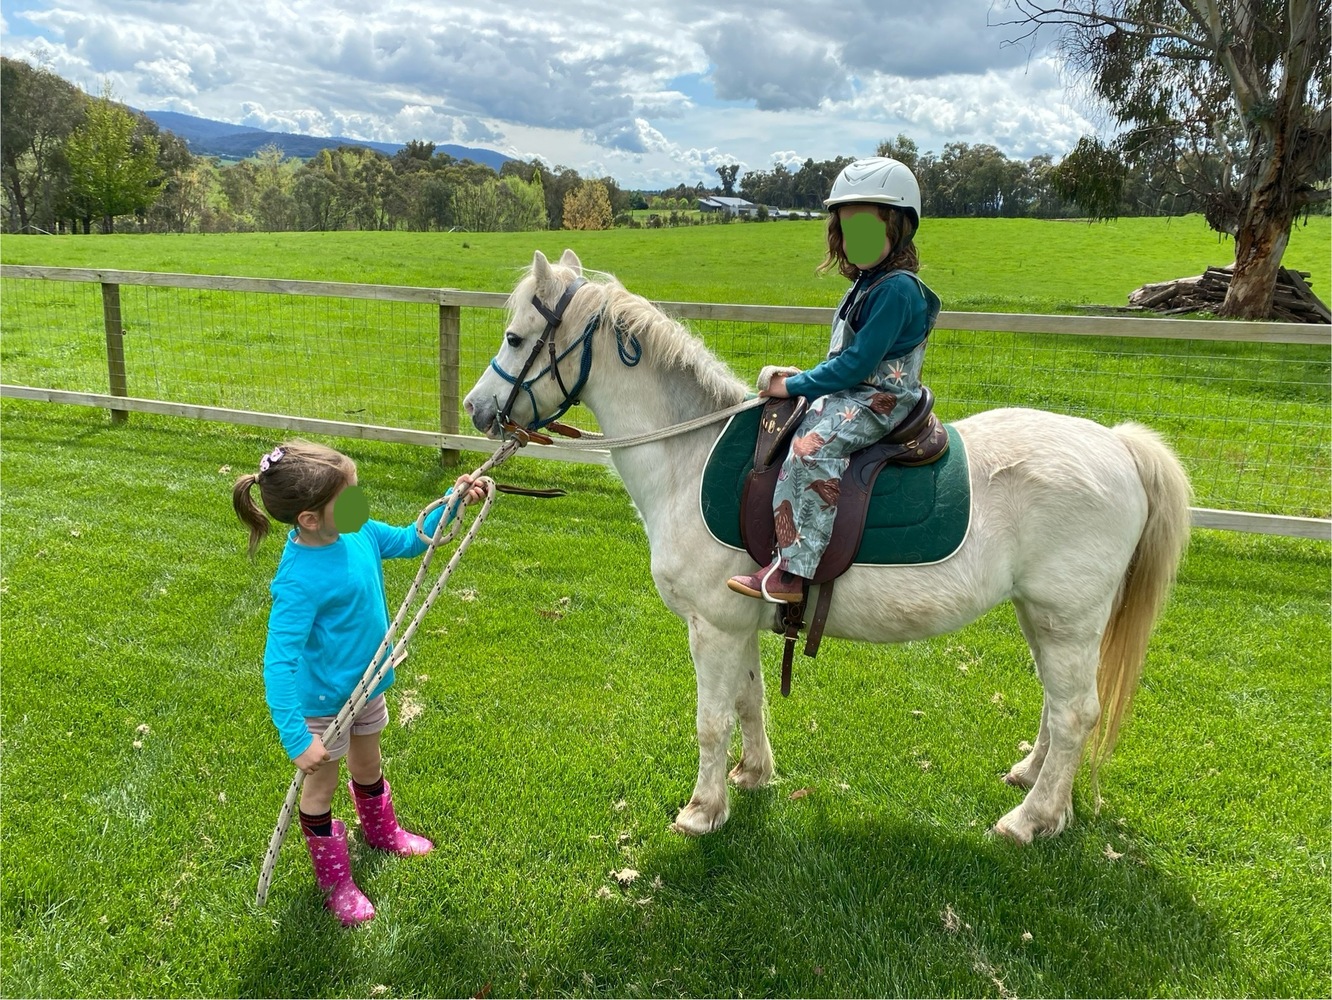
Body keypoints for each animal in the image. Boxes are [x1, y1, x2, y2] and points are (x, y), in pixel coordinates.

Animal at [463, 249, 1192, 844]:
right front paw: (752, 777)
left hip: (1066, 619)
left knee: (1075, 713)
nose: (476, 408)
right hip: (1044, 618)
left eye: (516, 336)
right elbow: (748, 701)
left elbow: (710, 720)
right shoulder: (740, 622)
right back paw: (1036, 785)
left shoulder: (712, 626)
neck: (687, 454)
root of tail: (1118, 446)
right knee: (1059, 706)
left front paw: (702, 810)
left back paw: (1030, 820)